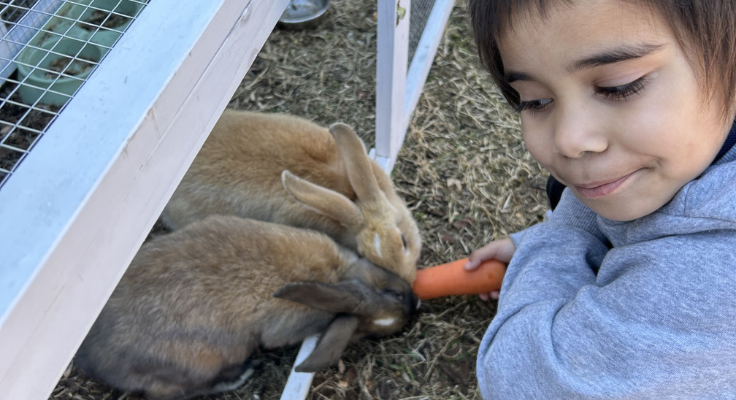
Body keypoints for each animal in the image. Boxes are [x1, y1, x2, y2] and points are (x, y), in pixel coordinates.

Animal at [74, 215, 418, 400]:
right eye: (394, 293)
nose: (415, 305)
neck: (336, 276)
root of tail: (92, 360)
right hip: (206, 359)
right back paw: (242, 373)